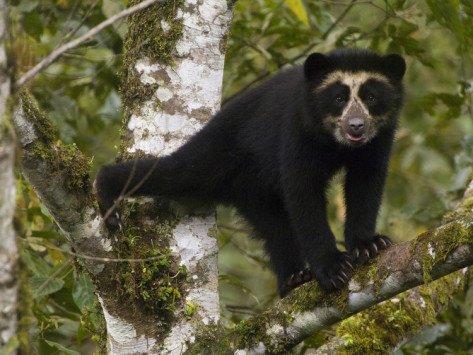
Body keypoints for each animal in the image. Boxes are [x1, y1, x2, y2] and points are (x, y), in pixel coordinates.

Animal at [95, 48, 406, 298]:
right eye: (339, 98)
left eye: (371, 97)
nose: (356, 126)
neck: (335, 142)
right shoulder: (297, 129)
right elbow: (303, 191)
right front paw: (332, 268)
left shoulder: (378, 140)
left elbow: (366, 182)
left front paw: (370, 245)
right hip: (219, 152)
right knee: (175, 172)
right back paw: (107, 190)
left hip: (252, 192)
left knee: (277, 230)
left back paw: (293, 279)